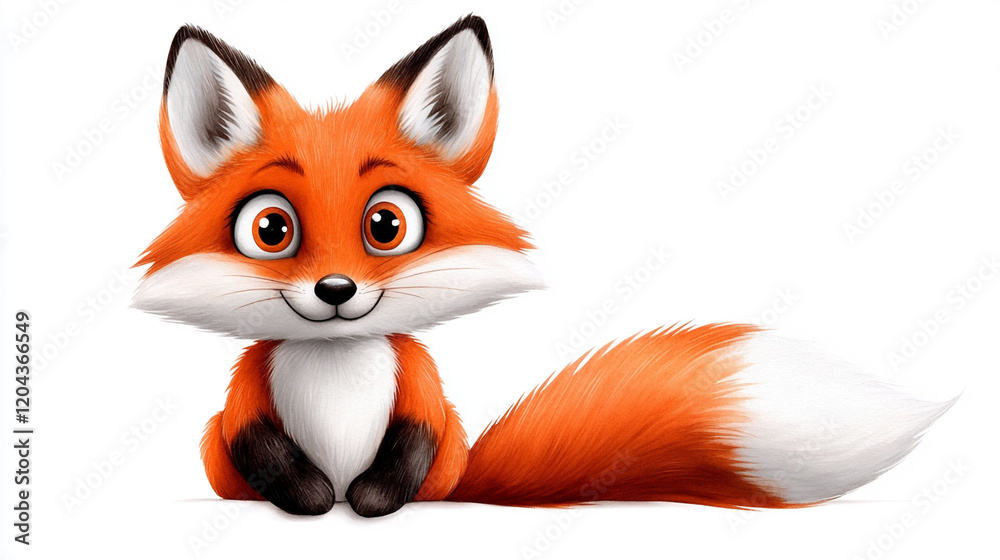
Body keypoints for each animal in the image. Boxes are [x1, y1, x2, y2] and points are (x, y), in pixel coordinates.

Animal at [133, 16, 955, 517]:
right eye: (271, 229)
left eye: (386, 225)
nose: (336, 290)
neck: (337, 366)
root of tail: (462, 484)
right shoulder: (245, 396)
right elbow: (256, 439)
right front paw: (312, 501)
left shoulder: (420, 385)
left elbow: (414, 432)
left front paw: (367, 503)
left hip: (446, 459)